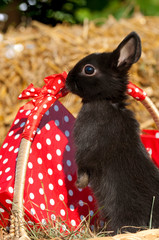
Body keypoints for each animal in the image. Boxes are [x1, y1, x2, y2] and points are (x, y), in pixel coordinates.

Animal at [66, 32, 159, 234]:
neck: (107, 100)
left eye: (89, 69)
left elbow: (83, 164)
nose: (67, 79)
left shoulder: (87, 149)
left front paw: (79, 184)